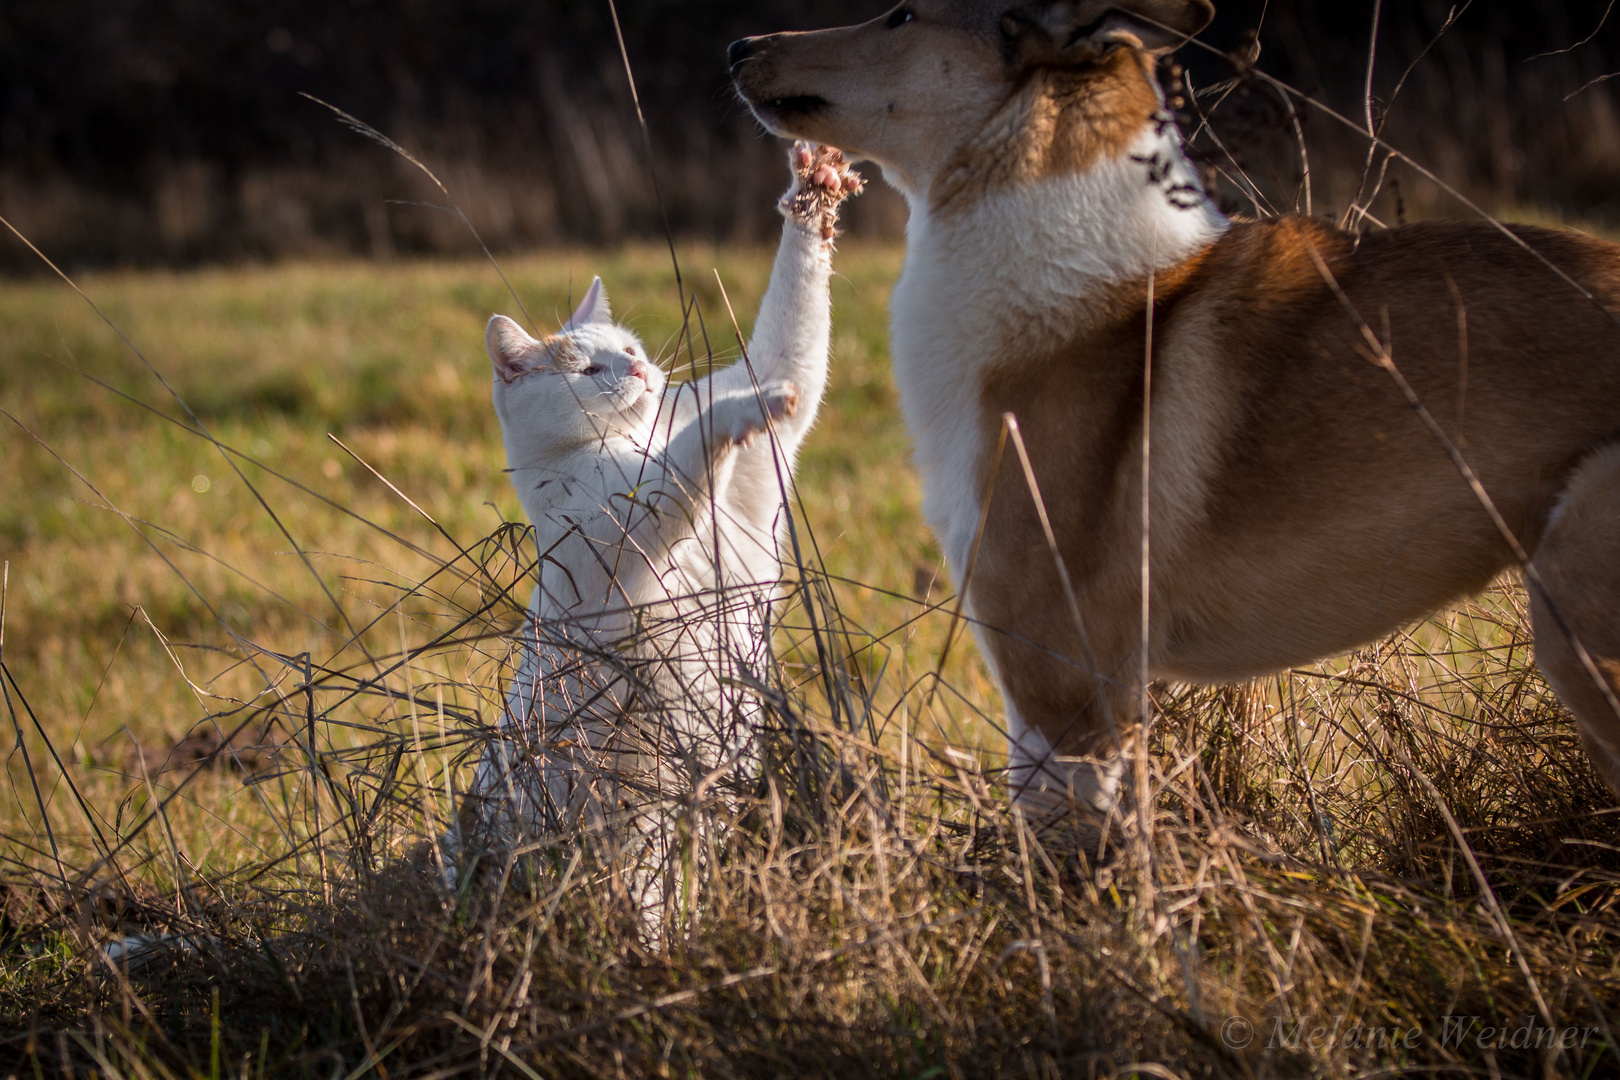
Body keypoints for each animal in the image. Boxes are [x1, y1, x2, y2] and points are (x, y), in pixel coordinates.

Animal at [456, 143, 861, 913]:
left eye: (630, 346)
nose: (641, 369)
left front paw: (815, 189)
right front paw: (747, 406)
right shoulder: (632, 516)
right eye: (590, 369)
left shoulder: (757, 459)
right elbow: (701, 438)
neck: (630, 440)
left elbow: (789, 341)